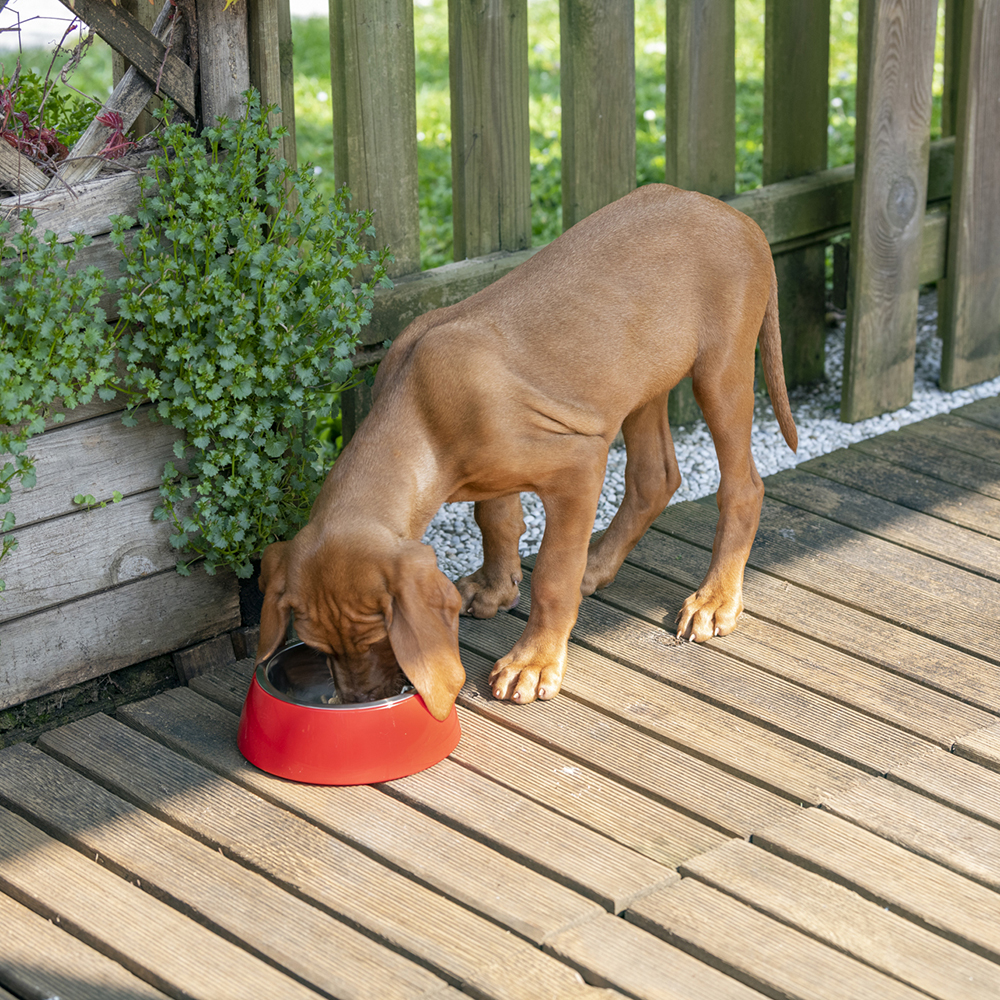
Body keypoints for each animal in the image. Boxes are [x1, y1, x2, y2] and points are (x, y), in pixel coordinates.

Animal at [256, 186, 796, 720]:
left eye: (379, 637)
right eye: (320, 648)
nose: (360, 699)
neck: (417, 413)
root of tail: (738, 218)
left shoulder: (578, 466)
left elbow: (553, 575)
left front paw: (533, 661)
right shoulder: (492, 470)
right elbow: (493, 519)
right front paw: (496, 588)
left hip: (720, 372)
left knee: (743, 486)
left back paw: (715, 598)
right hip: (639, 382)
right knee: (654, 478)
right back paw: (597, 564)